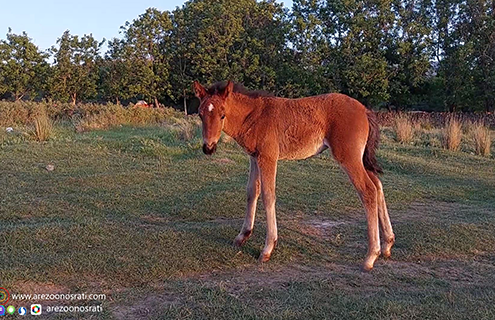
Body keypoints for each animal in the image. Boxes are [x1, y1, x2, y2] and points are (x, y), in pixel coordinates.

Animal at [193, 80, 396, 270]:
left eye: (222, 115)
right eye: (200, 115)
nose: (208, 148)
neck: (255, 115)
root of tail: (364, 110)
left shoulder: (268, 158)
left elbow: (268, 195)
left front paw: (267, 249)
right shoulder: (254, 157)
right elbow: (252, 192)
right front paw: (242, 236)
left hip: (349, 158)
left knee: (368, 191)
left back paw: (371, 256)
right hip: (361, 159)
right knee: (378, 186)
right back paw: (387, 244)